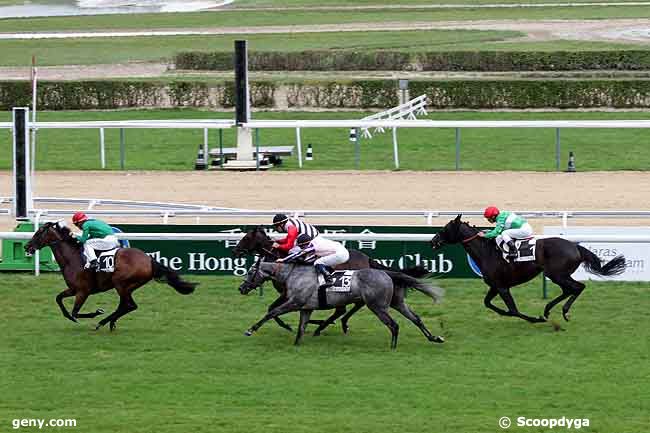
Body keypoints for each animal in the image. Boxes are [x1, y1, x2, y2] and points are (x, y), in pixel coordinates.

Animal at [25, 221, 196, 330]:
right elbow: (59, 299)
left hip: (120, 283)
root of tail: (149, 259)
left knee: (130, 305)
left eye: (39, 232)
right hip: (127, 286)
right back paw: (110, 322)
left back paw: (102, 322)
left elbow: (75, 312)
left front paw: (96, 312)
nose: (27, 246)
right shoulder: (73, 289)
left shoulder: (83, 291)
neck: (72, 258)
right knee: (125, 305)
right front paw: (72, 317)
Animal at [238, 258, 446, 350]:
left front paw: (250, 330)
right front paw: (297, 344)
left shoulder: (295, 302)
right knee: (416, 319)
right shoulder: (307, 308)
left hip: (377, 306)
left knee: (393, 324)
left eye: (250, 272)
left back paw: (393, 346)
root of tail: (387, 273)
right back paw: (434, 338)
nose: (241, 288)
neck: (293, 274)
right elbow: (301, 327)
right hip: (397, 303)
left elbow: (271, 313)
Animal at [428, 215, 624, 320]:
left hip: (557, 274)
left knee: (578, 287)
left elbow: (514, 310)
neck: (486, 251)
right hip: (557, 275)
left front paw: (532, 319)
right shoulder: (495, 286)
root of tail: (575, 247)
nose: (433, 241)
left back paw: (563, 312)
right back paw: (547, 310)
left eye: (445, 228)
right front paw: (504, 312)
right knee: (569, 290)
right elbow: (488, 303)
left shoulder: (502, 287)